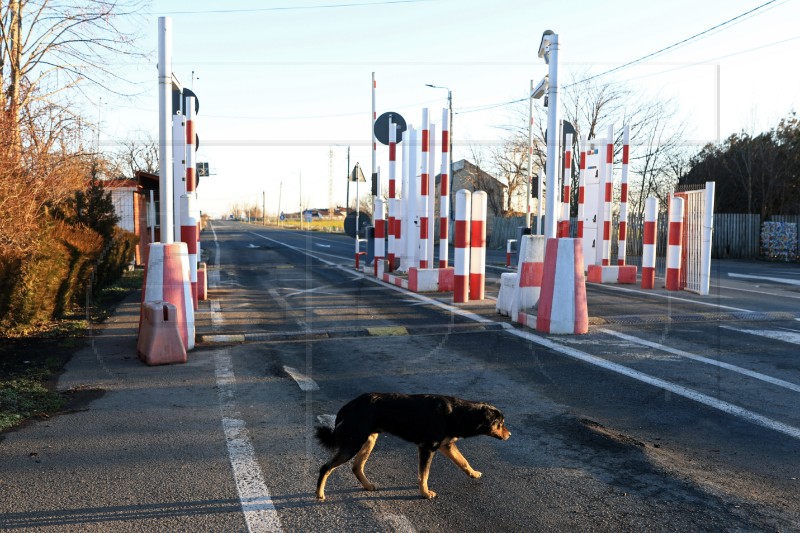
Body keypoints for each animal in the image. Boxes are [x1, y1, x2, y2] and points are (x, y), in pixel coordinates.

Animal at [314, 390, 510, 498]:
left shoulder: (446, 446)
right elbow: (424, 475)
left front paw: (473, 473)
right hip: (353, 443)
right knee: (326, 467)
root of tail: (350, 405)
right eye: (500, 423)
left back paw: (368, 486)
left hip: (368, 440)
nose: (509, 435)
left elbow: (463, 461)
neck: (458, 413)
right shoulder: (427, 448)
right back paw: (319, 494)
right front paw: (425, 493)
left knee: (356, 467)